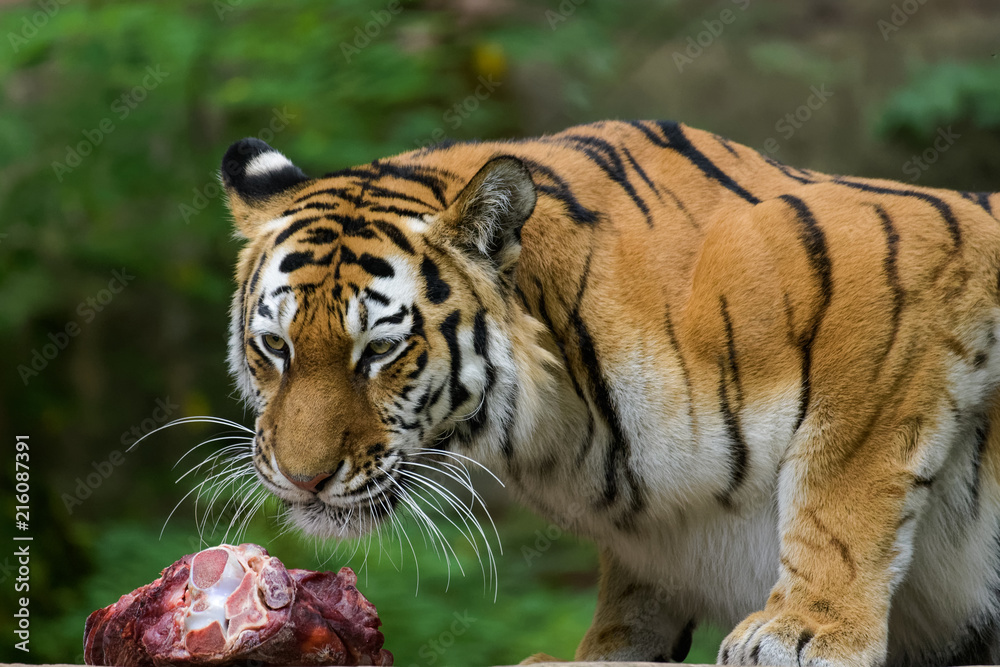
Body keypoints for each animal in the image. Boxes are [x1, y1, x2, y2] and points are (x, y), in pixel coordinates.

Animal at [220, 119, 1000, 667]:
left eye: (380, 350)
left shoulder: (900, 284)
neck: (563, 423)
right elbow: (637, 594)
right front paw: (601, 651)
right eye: (276, 347)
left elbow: (842, 484)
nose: (303, 479)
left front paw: (803, 631)